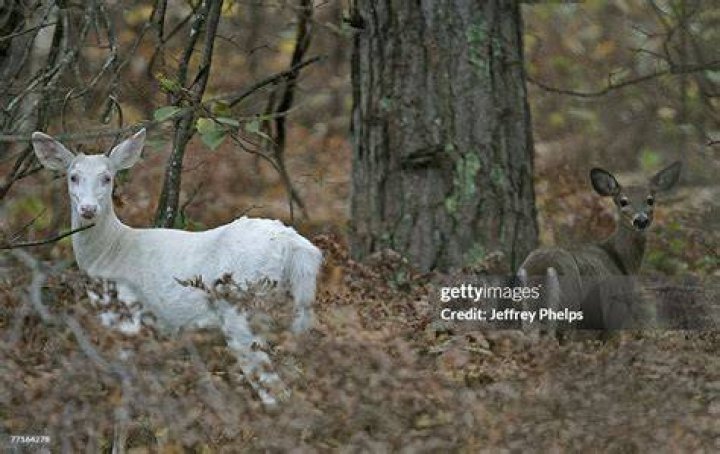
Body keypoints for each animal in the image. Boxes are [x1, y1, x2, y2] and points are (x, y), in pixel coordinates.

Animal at [31, 128, 323, 405]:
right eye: (73, 177)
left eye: (107, 177)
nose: (88, 209)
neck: (110, 252)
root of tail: (295, 246)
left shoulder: (126, 313)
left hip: (243, 307)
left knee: (272, 387)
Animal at [517, 161, 681, 334]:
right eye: (623, 201)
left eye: (650, 200)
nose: (641, 220)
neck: (623, 264)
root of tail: (541, 267)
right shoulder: (614, 308)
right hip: (569, 299)